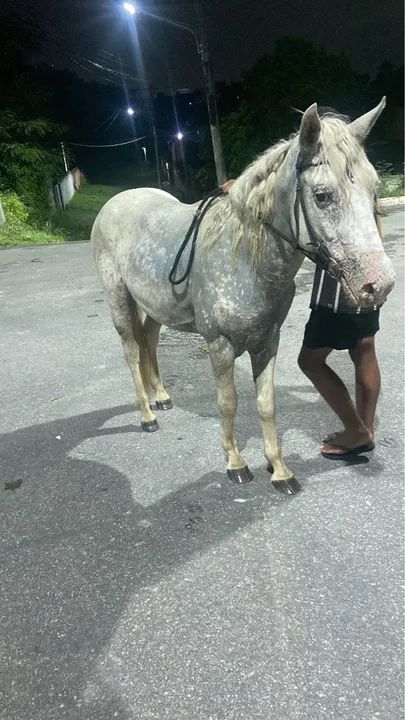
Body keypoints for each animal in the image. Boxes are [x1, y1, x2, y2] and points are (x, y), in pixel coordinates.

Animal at [91, 99, 395, 495]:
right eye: (322, 195)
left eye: (374, 189)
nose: (379, 284)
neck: (246, 259)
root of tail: (116, 202)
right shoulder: (219, 345)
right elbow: (229, 403)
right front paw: (236, 462)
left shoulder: (267, 342)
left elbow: (266, 404)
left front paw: (279, 469)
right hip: (119, 300)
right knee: (130, 350)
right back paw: (146, 415)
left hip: (154, 308)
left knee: (149, 344)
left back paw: (161, 397)